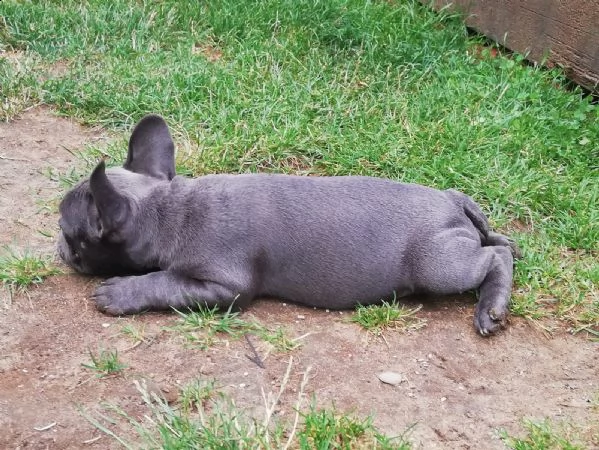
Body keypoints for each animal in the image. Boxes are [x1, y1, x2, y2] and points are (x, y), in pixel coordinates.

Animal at [57, 114, 520, 336]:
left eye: (67, 231)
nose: (58, 247)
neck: (168, 209)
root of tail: (451, 199)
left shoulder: (223, 286)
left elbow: (163, 283)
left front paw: (119, 292)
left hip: (436, 266)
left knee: (493, 258)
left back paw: (490, 309)